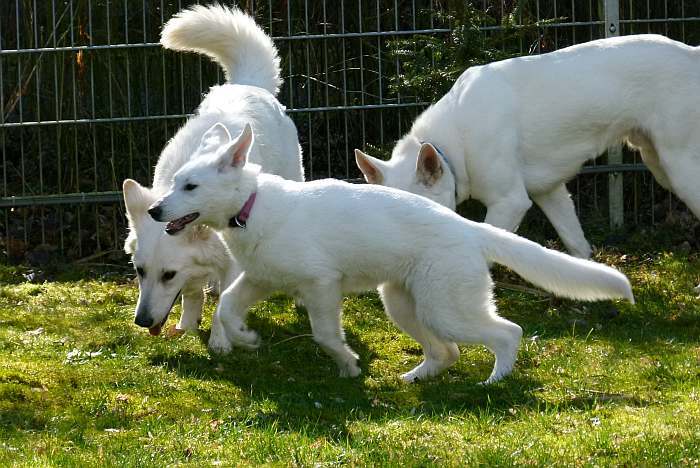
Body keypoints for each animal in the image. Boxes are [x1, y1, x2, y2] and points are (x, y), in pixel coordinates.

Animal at [123, 6, 304, 336]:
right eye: (140, 271)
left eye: (168, 275)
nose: (141, 322)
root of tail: (248, 83)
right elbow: (193, 293)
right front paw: (187, 327)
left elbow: (223, 304)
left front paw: (219, 340)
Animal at [148, 124, 636, 384]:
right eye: (175, 183)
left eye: (190, 186)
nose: (153, 211)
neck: (251, 208)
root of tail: (468, 227)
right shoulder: (259, 279)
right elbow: (227, 307)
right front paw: (246, 340)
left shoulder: (320, 286)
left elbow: (325, 336)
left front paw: (347, 365)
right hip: (403, 304)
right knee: (447, 353)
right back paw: (417, 378)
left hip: (445, 308)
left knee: (507, 332)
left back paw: (496, 380)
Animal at [356, 34, 700, 262]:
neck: (452, 144)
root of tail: (692, 54)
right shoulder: (550, 192)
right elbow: (576, 244)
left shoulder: (510, 202)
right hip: (658, 162)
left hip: (679, 169)